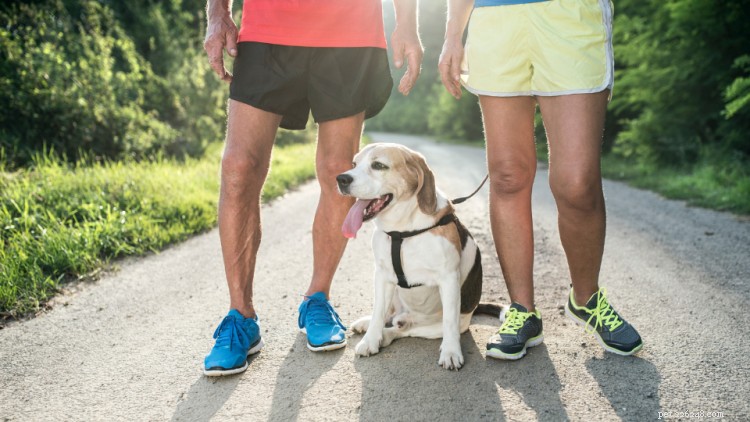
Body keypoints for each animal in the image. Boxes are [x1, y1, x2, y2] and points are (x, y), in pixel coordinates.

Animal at [340, 142, 488, 370]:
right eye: (354, 164)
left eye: (378, 165)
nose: (341, 179)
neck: (403, 230)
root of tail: (407, 316)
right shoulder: (382, 275)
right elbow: (378, 312)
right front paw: (370, 340)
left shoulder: (448, 280)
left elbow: (449, 323)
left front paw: (451, 353)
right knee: (388, 315)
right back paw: (369, 324)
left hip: (441, 326)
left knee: (403, 330)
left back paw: (391, 333)